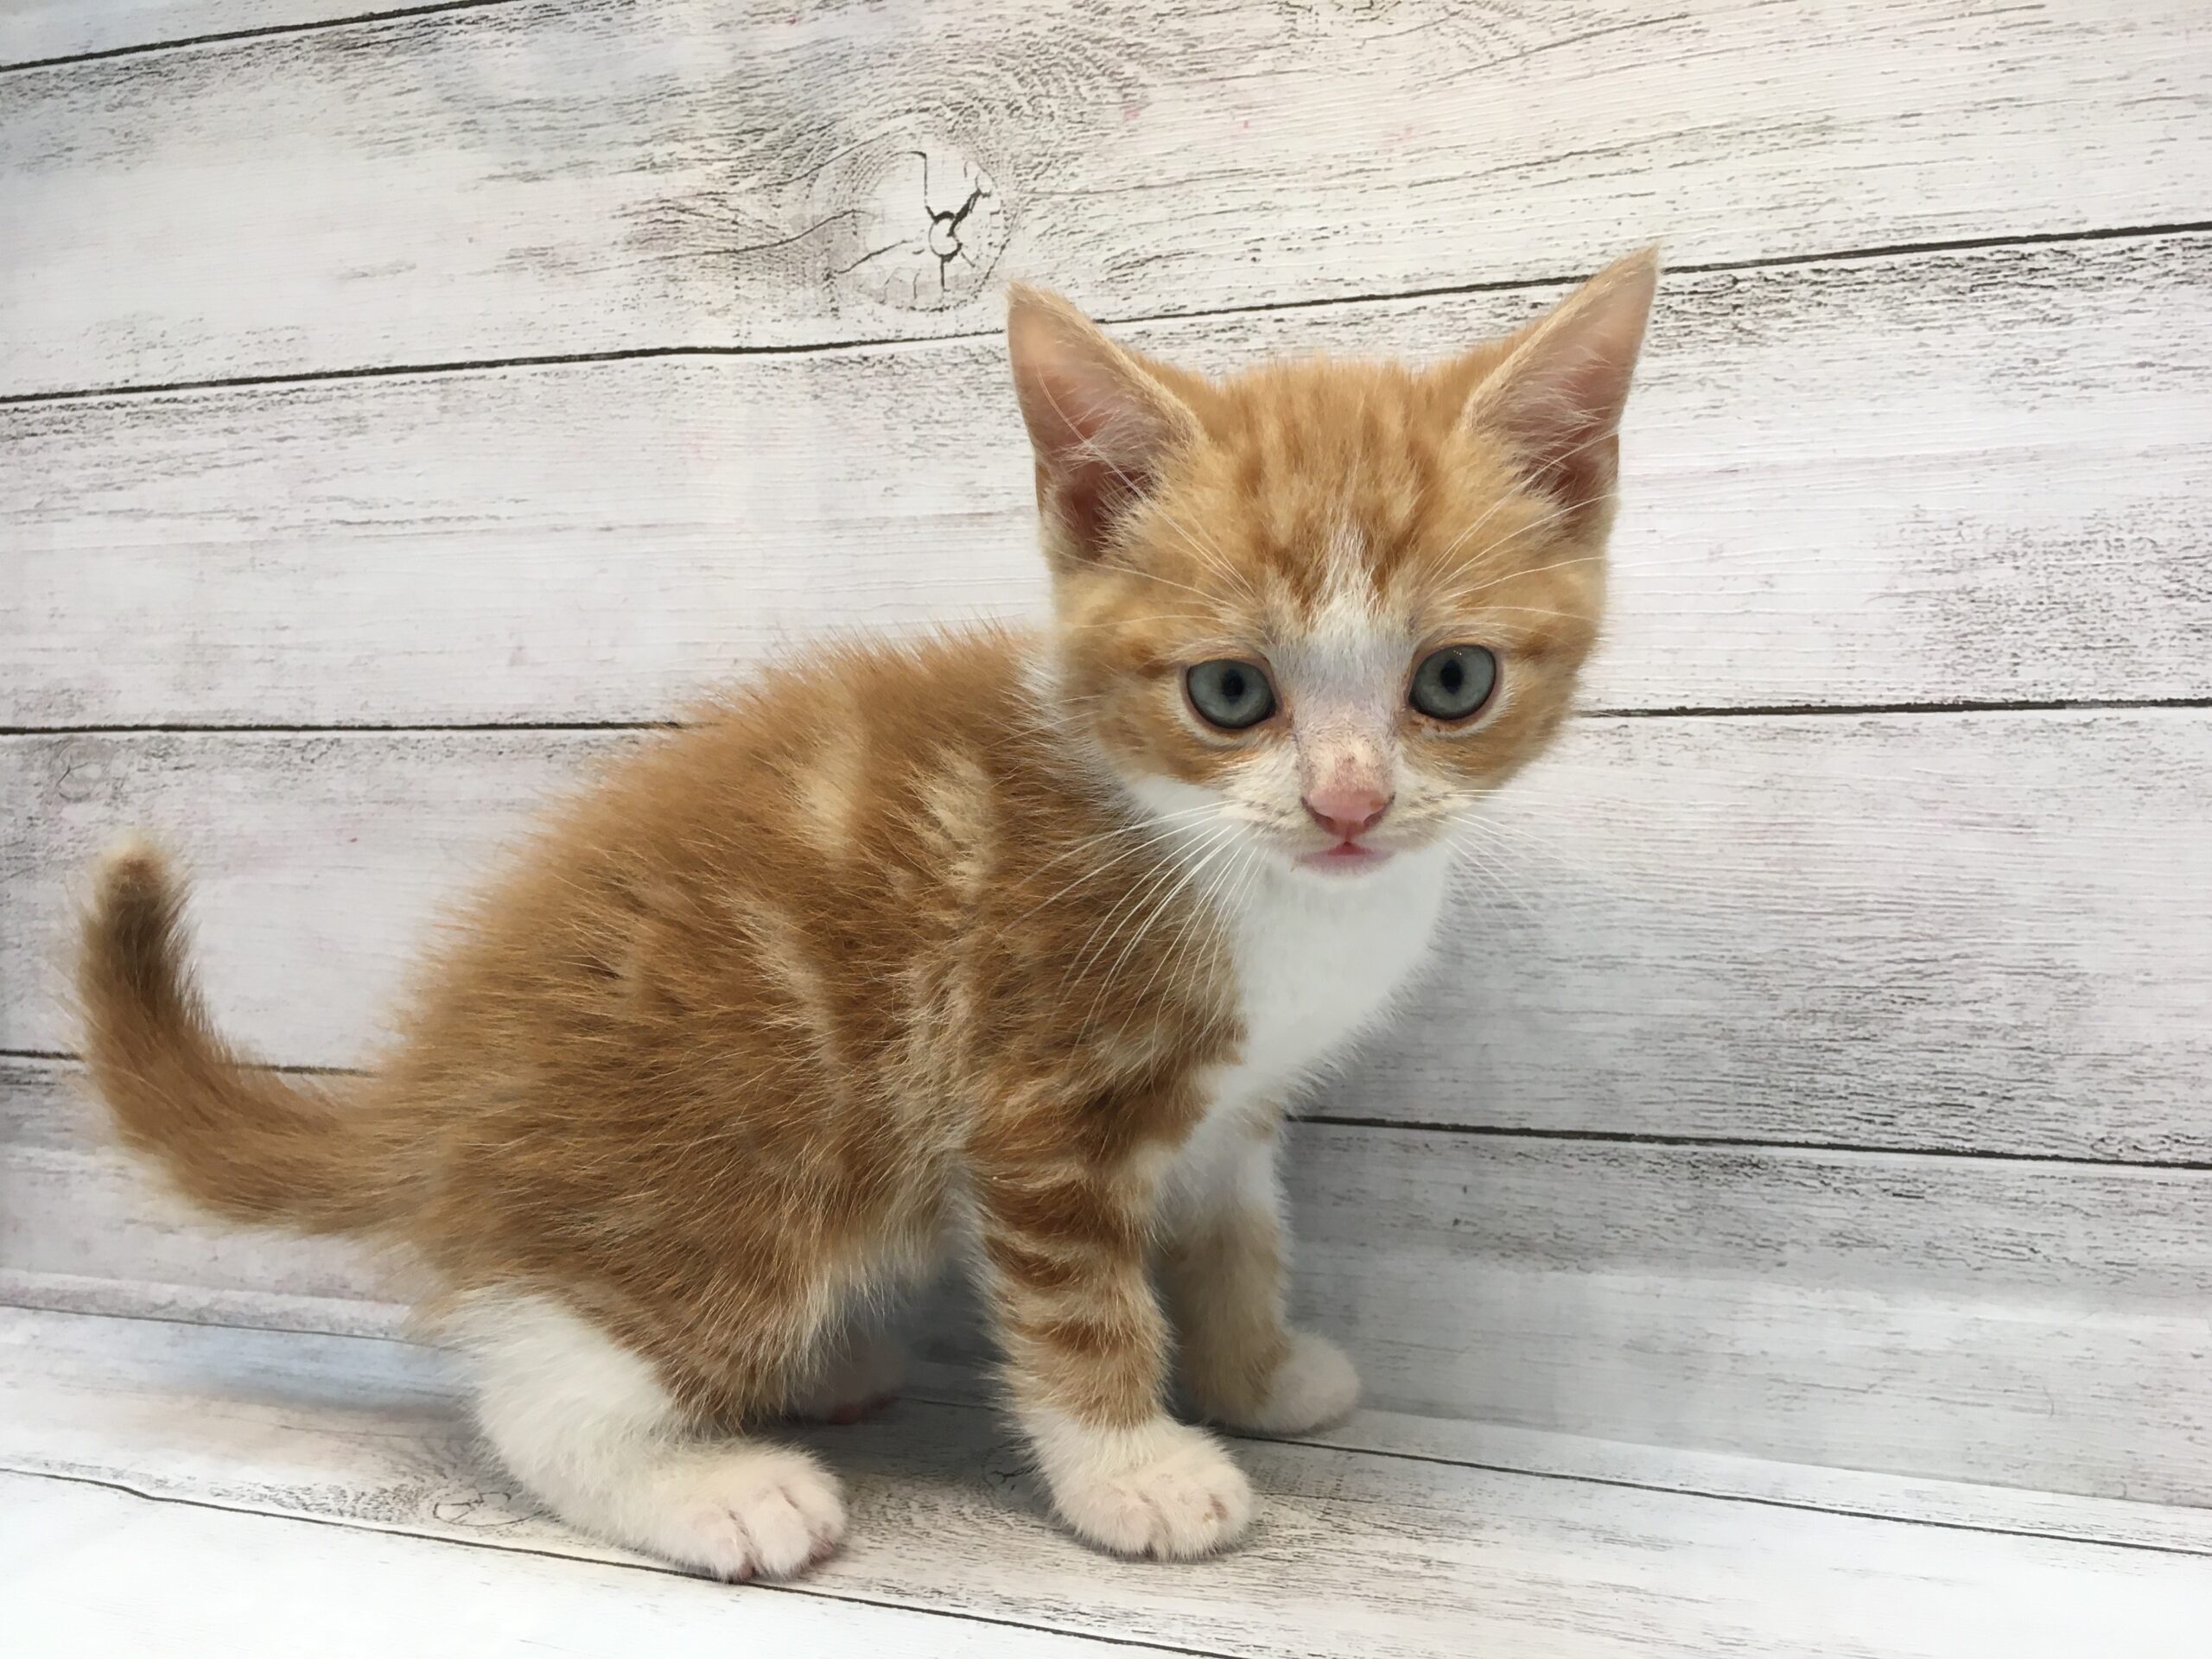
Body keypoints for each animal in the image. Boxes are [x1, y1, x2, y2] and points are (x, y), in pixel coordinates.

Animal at [78, 250, 1654, 1583]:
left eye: (1452, 682)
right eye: (1229, 693)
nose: (1348, 803)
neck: (1221, 861)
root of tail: (445, 1081)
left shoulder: (1234, 1102)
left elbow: (1239, 1239)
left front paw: (1262, 1375)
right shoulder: (1037, 1099)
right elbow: (1081, 1303)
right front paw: (1134, 1471)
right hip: (742, 1155)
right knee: (540, 1376)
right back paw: (707, 1484)